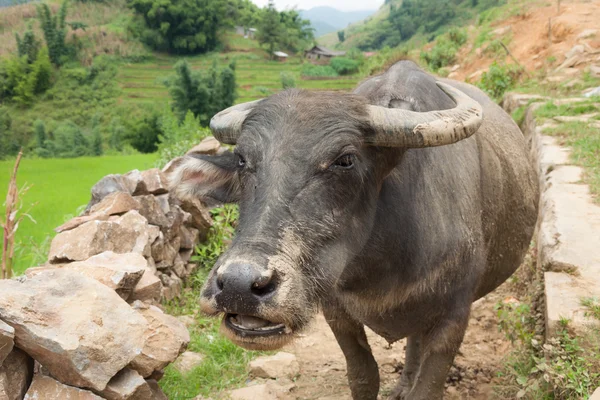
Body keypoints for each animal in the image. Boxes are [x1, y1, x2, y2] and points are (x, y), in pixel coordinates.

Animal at [169, 60, 540, 400]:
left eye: (345, 160)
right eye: (242, 160)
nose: (239, 285)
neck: (387, 262)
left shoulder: (455, 314)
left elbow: (429, 386)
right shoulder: (337, 311)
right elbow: (363, 376)